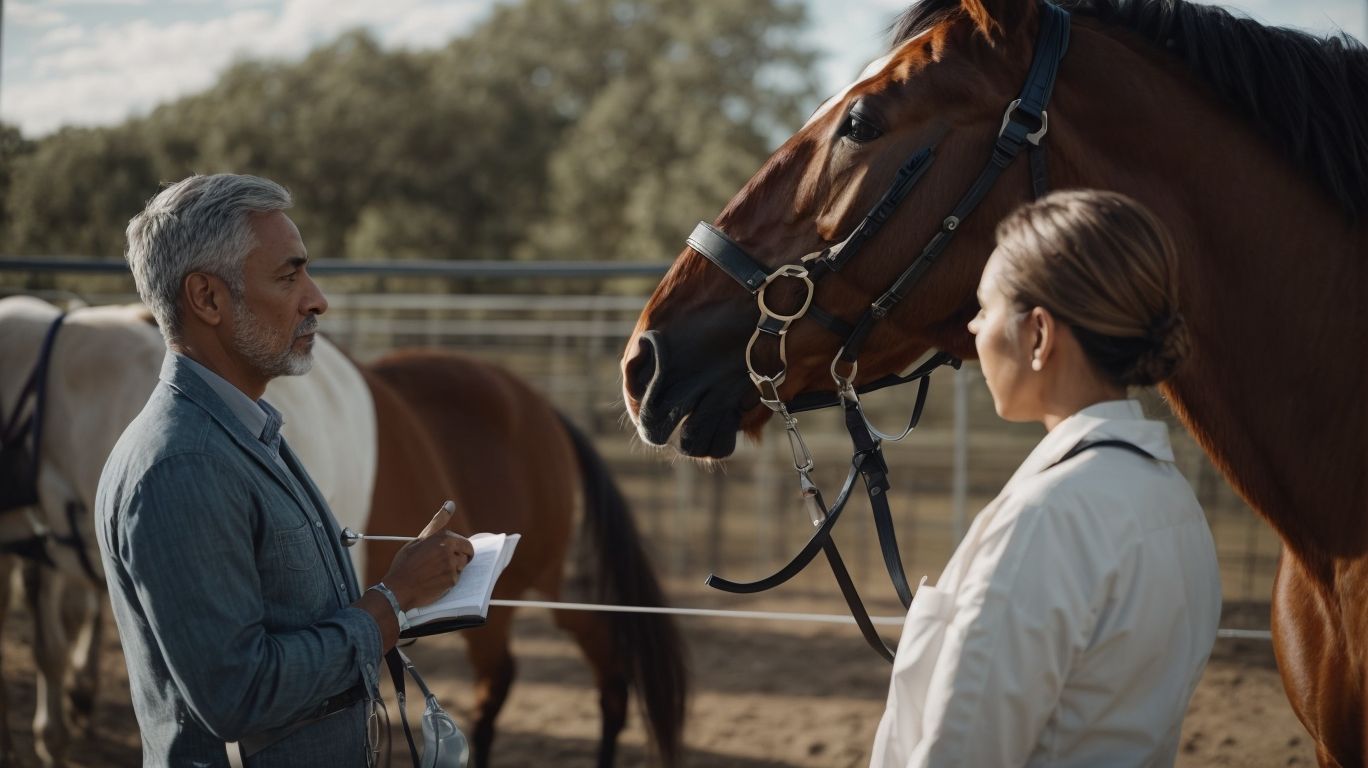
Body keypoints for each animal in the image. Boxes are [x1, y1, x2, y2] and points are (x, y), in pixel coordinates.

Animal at [0, 295, 687, 766]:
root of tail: (539, 406)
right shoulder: (51, 553)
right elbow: (53, 640)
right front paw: (58, 724)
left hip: (539, 574)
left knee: (578, 665)